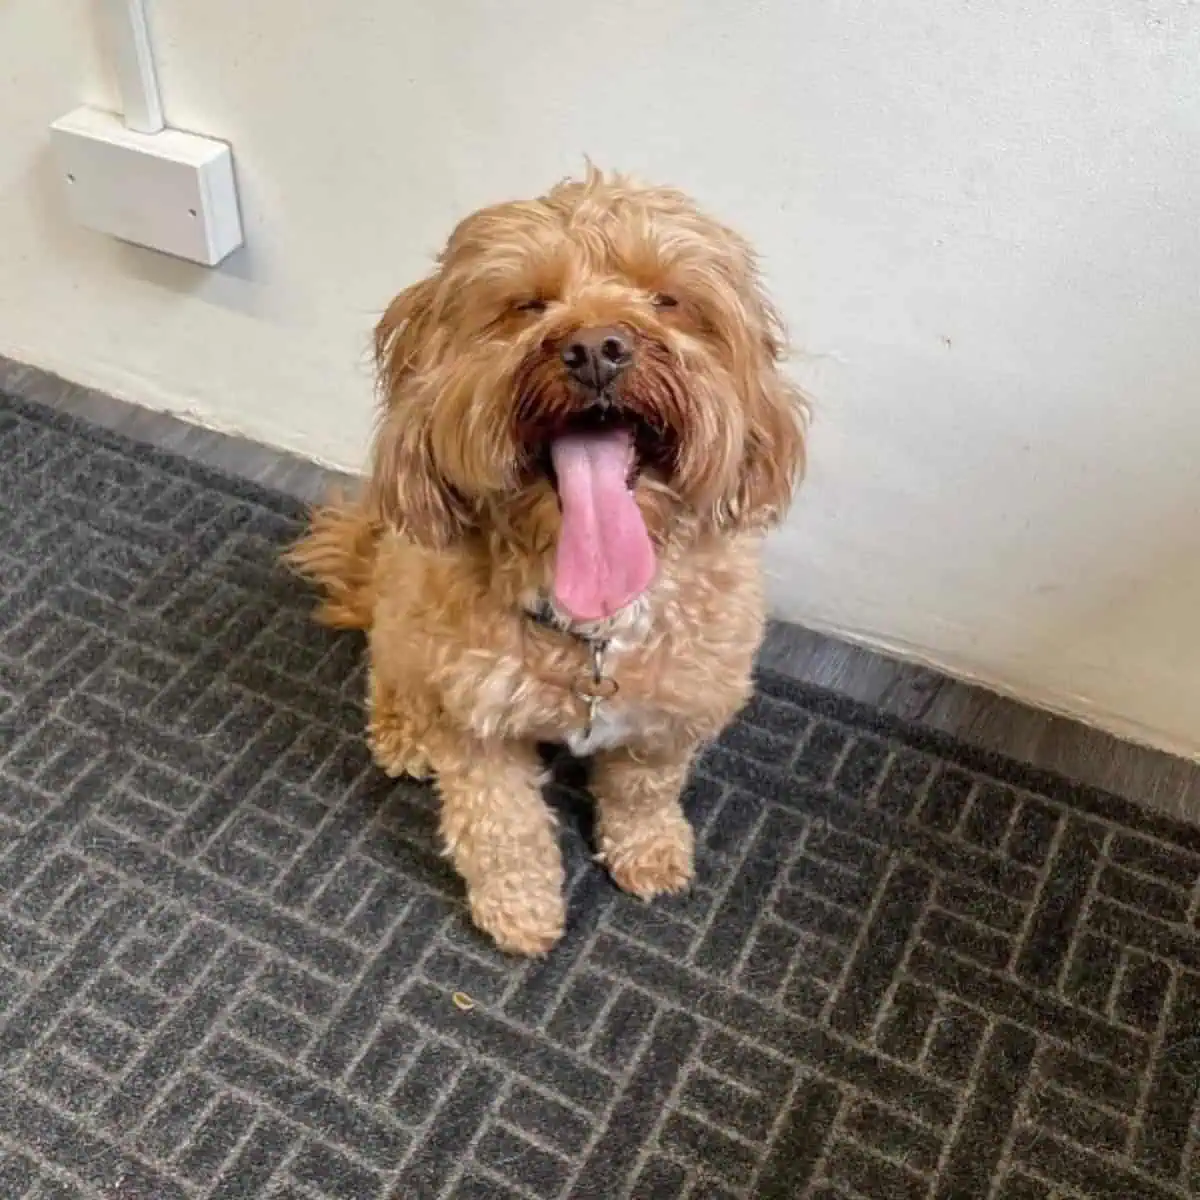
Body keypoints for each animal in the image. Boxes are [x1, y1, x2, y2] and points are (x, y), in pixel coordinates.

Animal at [286, 169, 806, 955]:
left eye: (667, 298)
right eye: (526, 305)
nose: (597, 348)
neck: (593, 623)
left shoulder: (676, 709)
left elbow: (645, 788)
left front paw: (649, 850)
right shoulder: (478, 723)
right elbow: (503, 825)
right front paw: (521, 909)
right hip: (408, 610)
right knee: (386, 661)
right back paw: (403, 731)